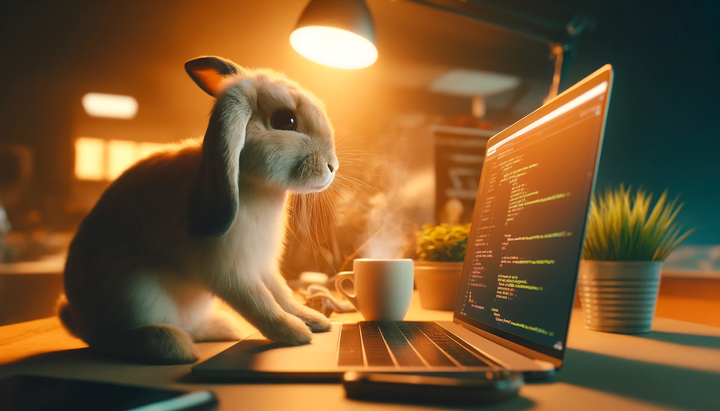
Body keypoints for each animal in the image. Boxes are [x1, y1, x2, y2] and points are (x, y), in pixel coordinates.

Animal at [57, 56, 338, 366]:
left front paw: (314, 320)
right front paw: (295, 333)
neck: (253, 185)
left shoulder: (263, 265)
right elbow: (260, 302)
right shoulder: (229, 270)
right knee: (111, 340)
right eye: (285, 120)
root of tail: (79, 321)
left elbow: (282, 294)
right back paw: (173, 346)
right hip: (134, 292)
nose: (333, 166)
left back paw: (222, 328)